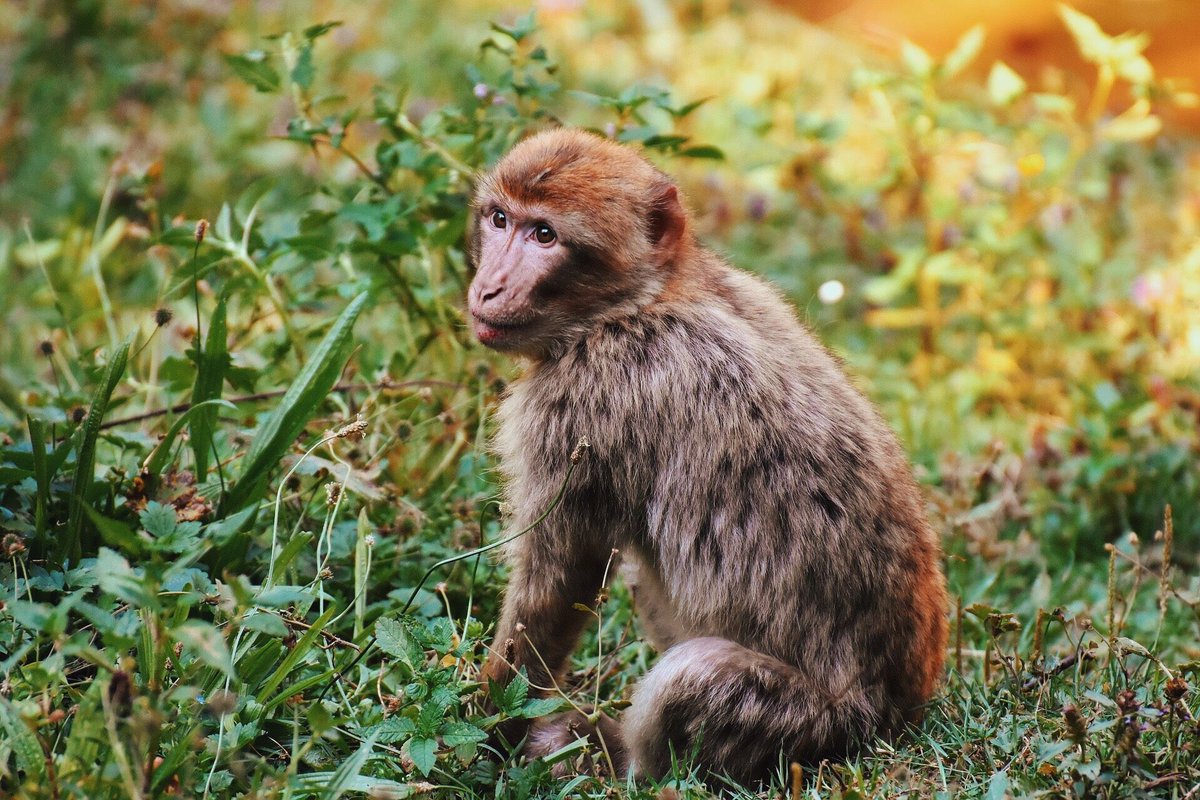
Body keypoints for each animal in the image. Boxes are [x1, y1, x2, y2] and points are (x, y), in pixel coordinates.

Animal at [468, 128, 945, 786]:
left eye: (544, 235)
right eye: (499, 219)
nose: (488, 287)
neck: (639, 303)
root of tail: (897, 711)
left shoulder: (586, 401)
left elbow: (559, 577)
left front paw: (488, 731)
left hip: (805, 724)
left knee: (694, 676)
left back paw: (611, 759)